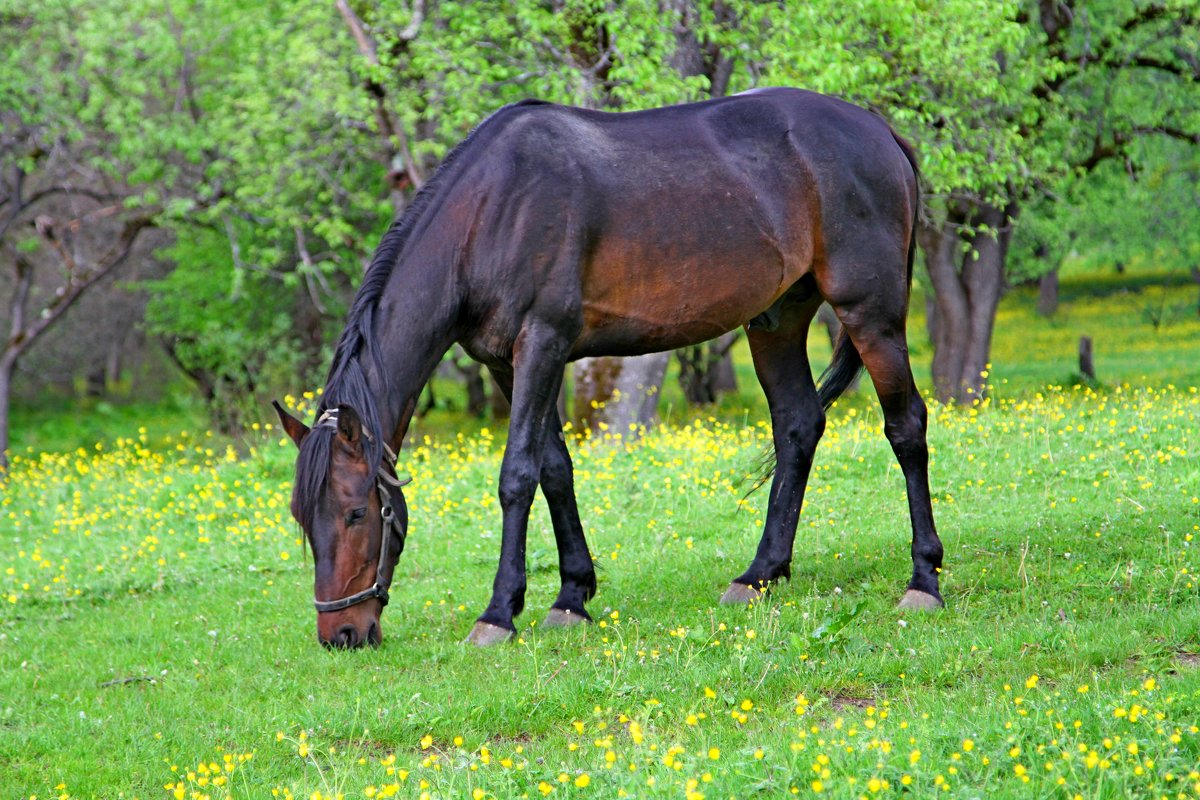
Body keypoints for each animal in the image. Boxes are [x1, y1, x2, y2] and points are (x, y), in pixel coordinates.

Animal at [276, 87, 940, 652]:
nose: (341, 634)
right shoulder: (506, 363)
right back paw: (759, 575)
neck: (492, 211)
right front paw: (571, 596)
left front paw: (498, 614)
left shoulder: (542, 344)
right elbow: (554, 469)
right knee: (799, 426)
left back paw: (923, 580)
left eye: (356, 512)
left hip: (871, 313)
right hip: (776, 320)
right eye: (302, 518)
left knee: (906, 427)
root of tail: (879, 129)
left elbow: (516, 475)